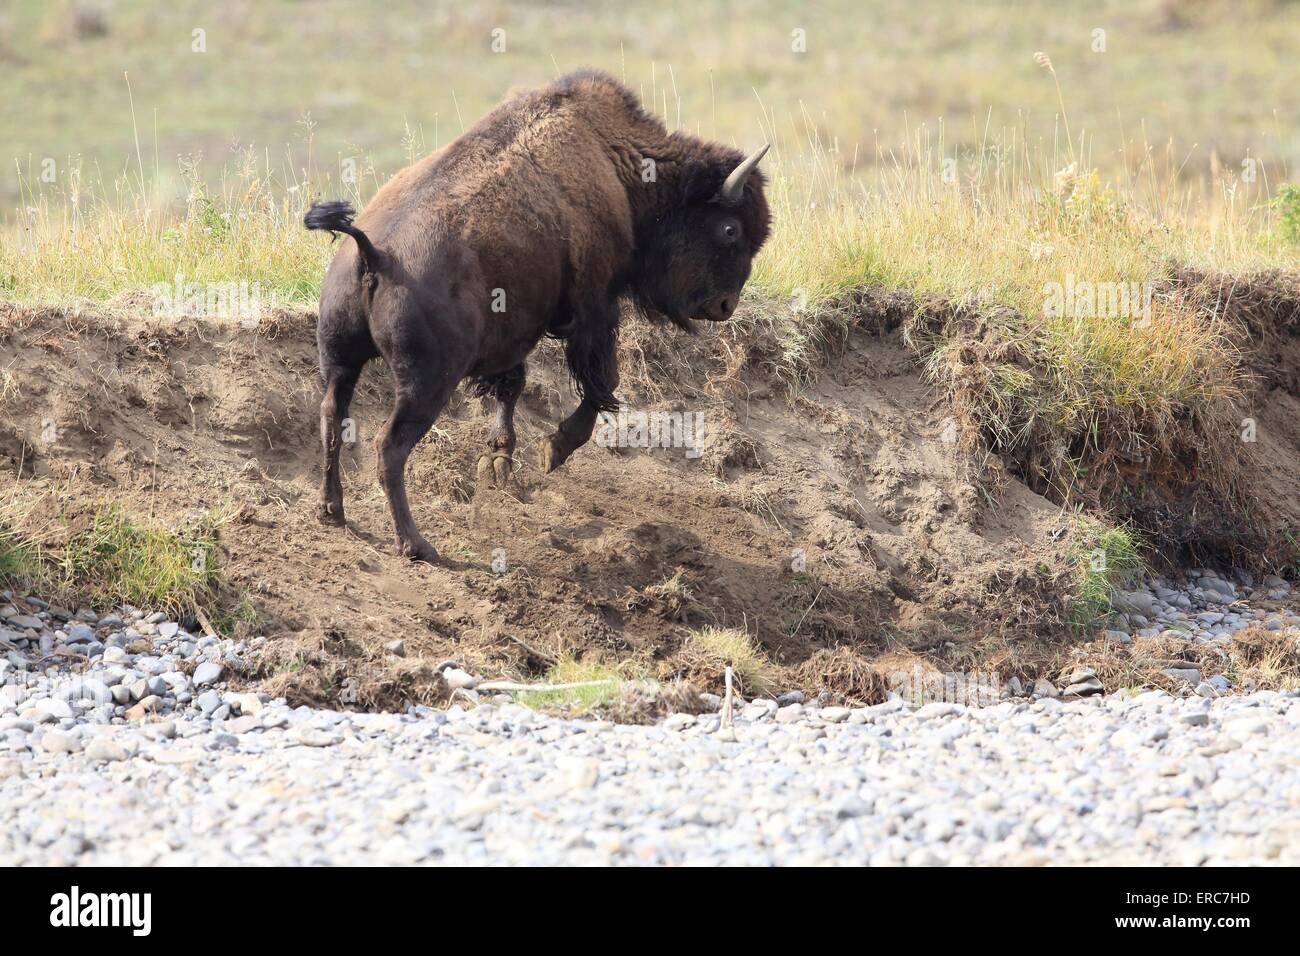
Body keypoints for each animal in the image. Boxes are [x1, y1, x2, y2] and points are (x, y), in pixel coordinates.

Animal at [304, 70, 769, 564]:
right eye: (730, 229)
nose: (725, 305)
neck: (617, 166)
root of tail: (375, 253)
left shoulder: (516, 333)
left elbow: (512, 388)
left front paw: (498, 463)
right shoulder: (594, 308)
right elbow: (601, 382)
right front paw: (554, 450)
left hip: (340, 360)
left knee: (332, 417)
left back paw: (332, 511)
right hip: (426, 383)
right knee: (388, 447)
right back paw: (415, 543)